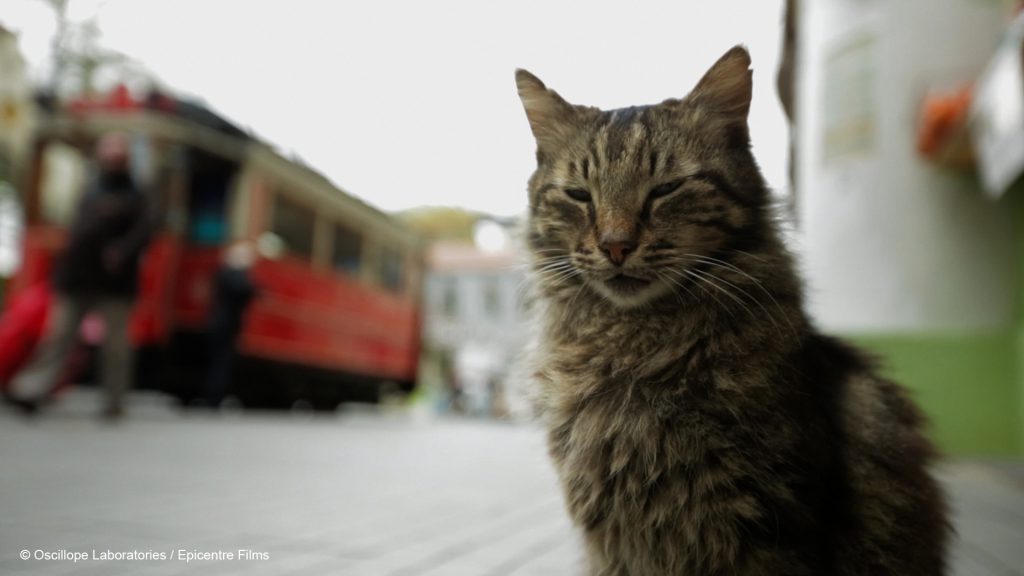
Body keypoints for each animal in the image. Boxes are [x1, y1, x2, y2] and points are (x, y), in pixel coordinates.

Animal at [516, 45, 946, 573]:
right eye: (579, 196)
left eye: (666, 189)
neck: (630, 343)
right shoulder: (611, 539)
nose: (616, 246)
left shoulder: (770, 519)